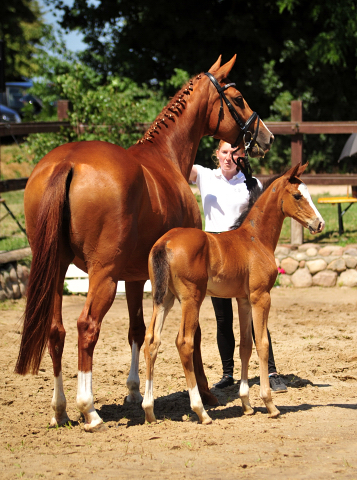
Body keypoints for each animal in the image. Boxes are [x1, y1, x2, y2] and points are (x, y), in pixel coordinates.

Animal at [142, 164, 322, 424]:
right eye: (298, 195)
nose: (319, 224)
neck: (255, 239)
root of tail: (164, 243)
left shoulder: (243, 300)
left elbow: (245, 345)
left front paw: (246, 403)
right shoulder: (261, 297)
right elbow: (263, 343)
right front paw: (269, 404)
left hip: (164, 299)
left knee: (151, 341)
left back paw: (149, 410)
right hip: (191, 299)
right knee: (184, 342)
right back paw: (201, 411)